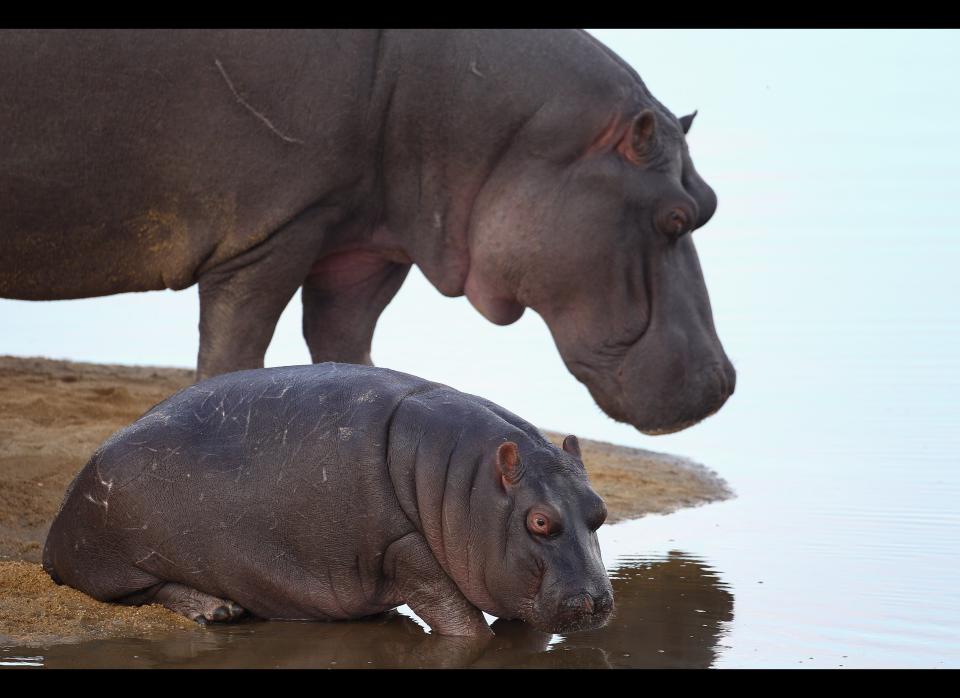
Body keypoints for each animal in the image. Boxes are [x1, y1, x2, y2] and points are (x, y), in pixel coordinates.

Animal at [1, 29, 736, 432]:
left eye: (711, 202)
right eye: (675, 216)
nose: (724, 382)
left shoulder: (362, 242)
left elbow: (348, 350)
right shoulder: (275, 228)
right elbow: (231, 358)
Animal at [41, 364, 612, 636]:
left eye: (600, 512)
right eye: (539, 522)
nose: (601, 601)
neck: (466, 481)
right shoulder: (403, 548)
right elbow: (463, 625)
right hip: (123, 557)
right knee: (141, 592)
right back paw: (217, 610)